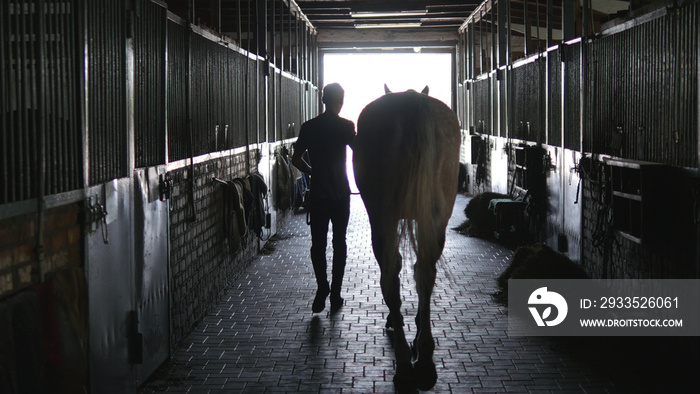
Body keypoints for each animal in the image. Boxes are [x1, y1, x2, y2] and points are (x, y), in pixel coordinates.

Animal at [356, 84, 460, 390]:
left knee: (391, 272)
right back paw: (423, 357)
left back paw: (404, 360)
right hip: (435, 218)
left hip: (382, 218)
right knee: (424, 271)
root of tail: (412, 101)